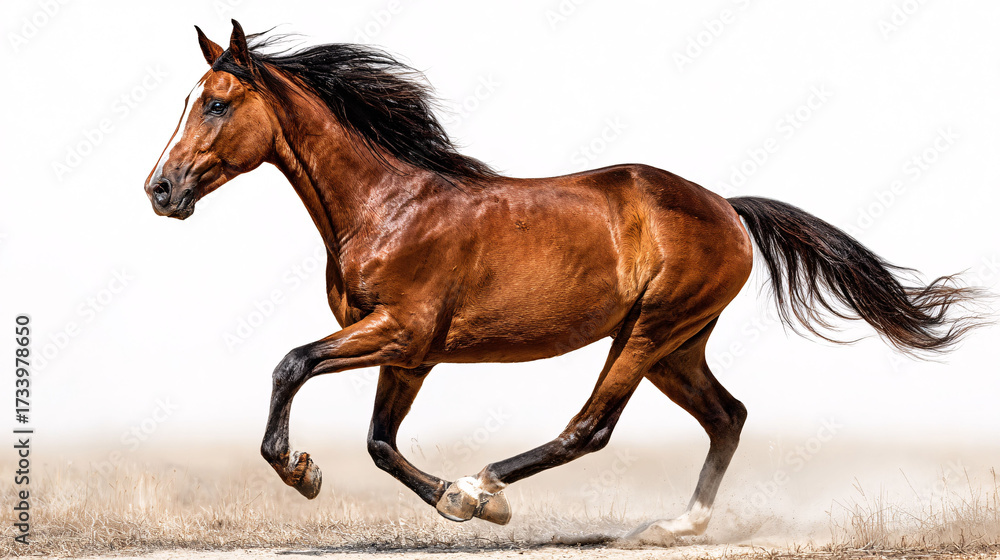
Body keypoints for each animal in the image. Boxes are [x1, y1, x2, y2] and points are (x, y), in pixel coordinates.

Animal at [144, 20, 987, 544]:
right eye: (189, 101)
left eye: (216, 103)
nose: (160, 190)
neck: (387, 206)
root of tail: (726, 206)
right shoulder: (410, 353)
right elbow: (380, 441)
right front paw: (430, 497)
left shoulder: (401, 330)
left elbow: (292, 362)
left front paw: (310, 474)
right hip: (676, 343)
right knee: (728, 415)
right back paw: (673, 528)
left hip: (649, 331)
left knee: (594, 427)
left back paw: (490, 482)